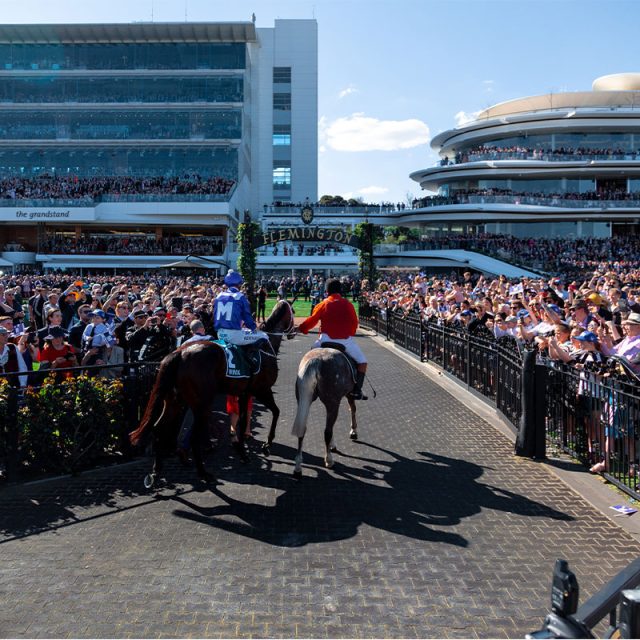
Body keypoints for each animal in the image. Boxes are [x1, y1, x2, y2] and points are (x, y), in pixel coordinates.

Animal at [130, 300, 296, 484]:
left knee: (159, 428)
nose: (294, 331)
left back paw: (156, 471)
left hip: (174, 400)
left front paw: (242, 452)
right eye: (293, 311)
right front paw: (266, 445)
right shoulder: (262, 389)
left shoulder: (244, 393)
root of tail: (179, 353)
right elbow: (275, 412)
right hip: (202, 404)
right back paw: (203, 473)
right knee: (194, 437)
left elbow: (243, 419)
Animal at [292, 348, 360, 478]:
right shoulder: (348, 394)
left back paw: (298, 467)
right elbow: (352, 409)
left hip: (304, 400)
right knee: (327, 432)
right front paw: (353, 431)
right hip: (332, 402)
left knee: (303, 430)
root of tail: (315, 361)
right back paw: (329, 460)